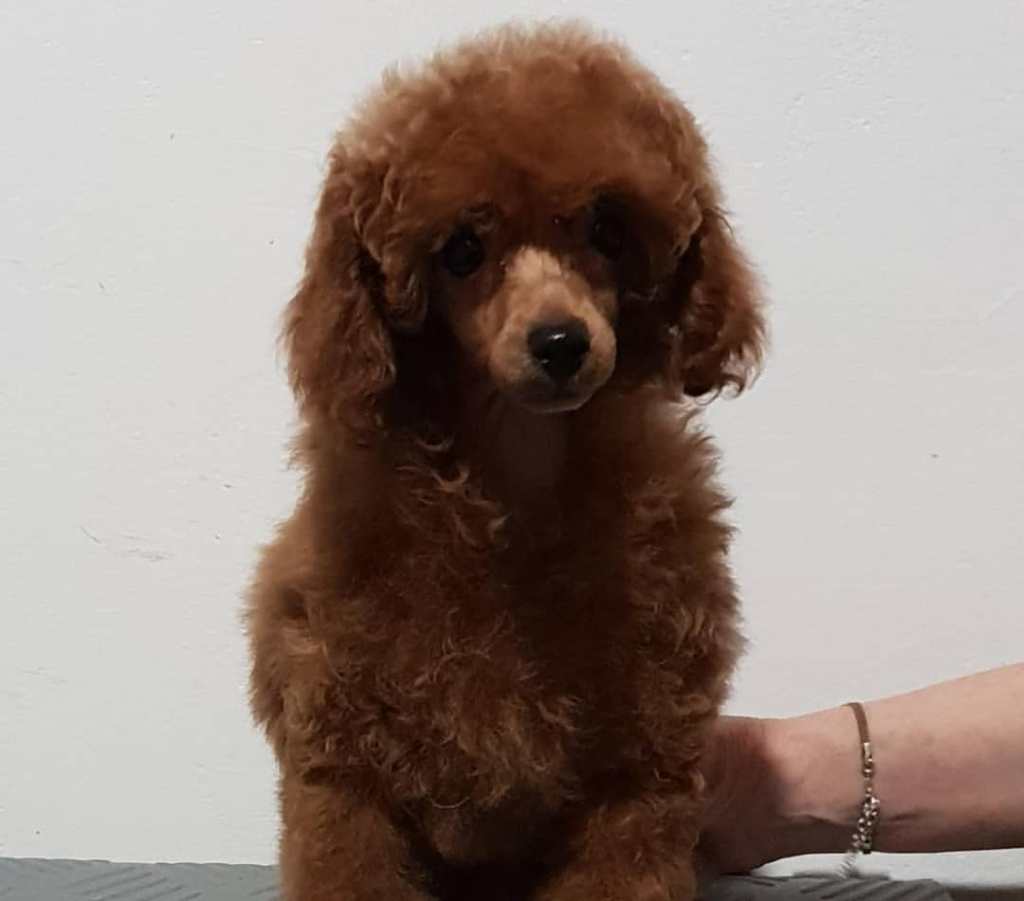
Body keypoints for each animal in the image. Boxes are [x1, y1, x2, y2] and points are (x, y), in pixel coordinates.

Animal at [248, 22, 764, 901]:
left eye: (605, 230)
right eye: (461, 250)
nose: (560, 342)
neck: (517, 470)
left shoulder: (639, 774)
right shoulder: (343, 763)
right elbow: (349, 860)